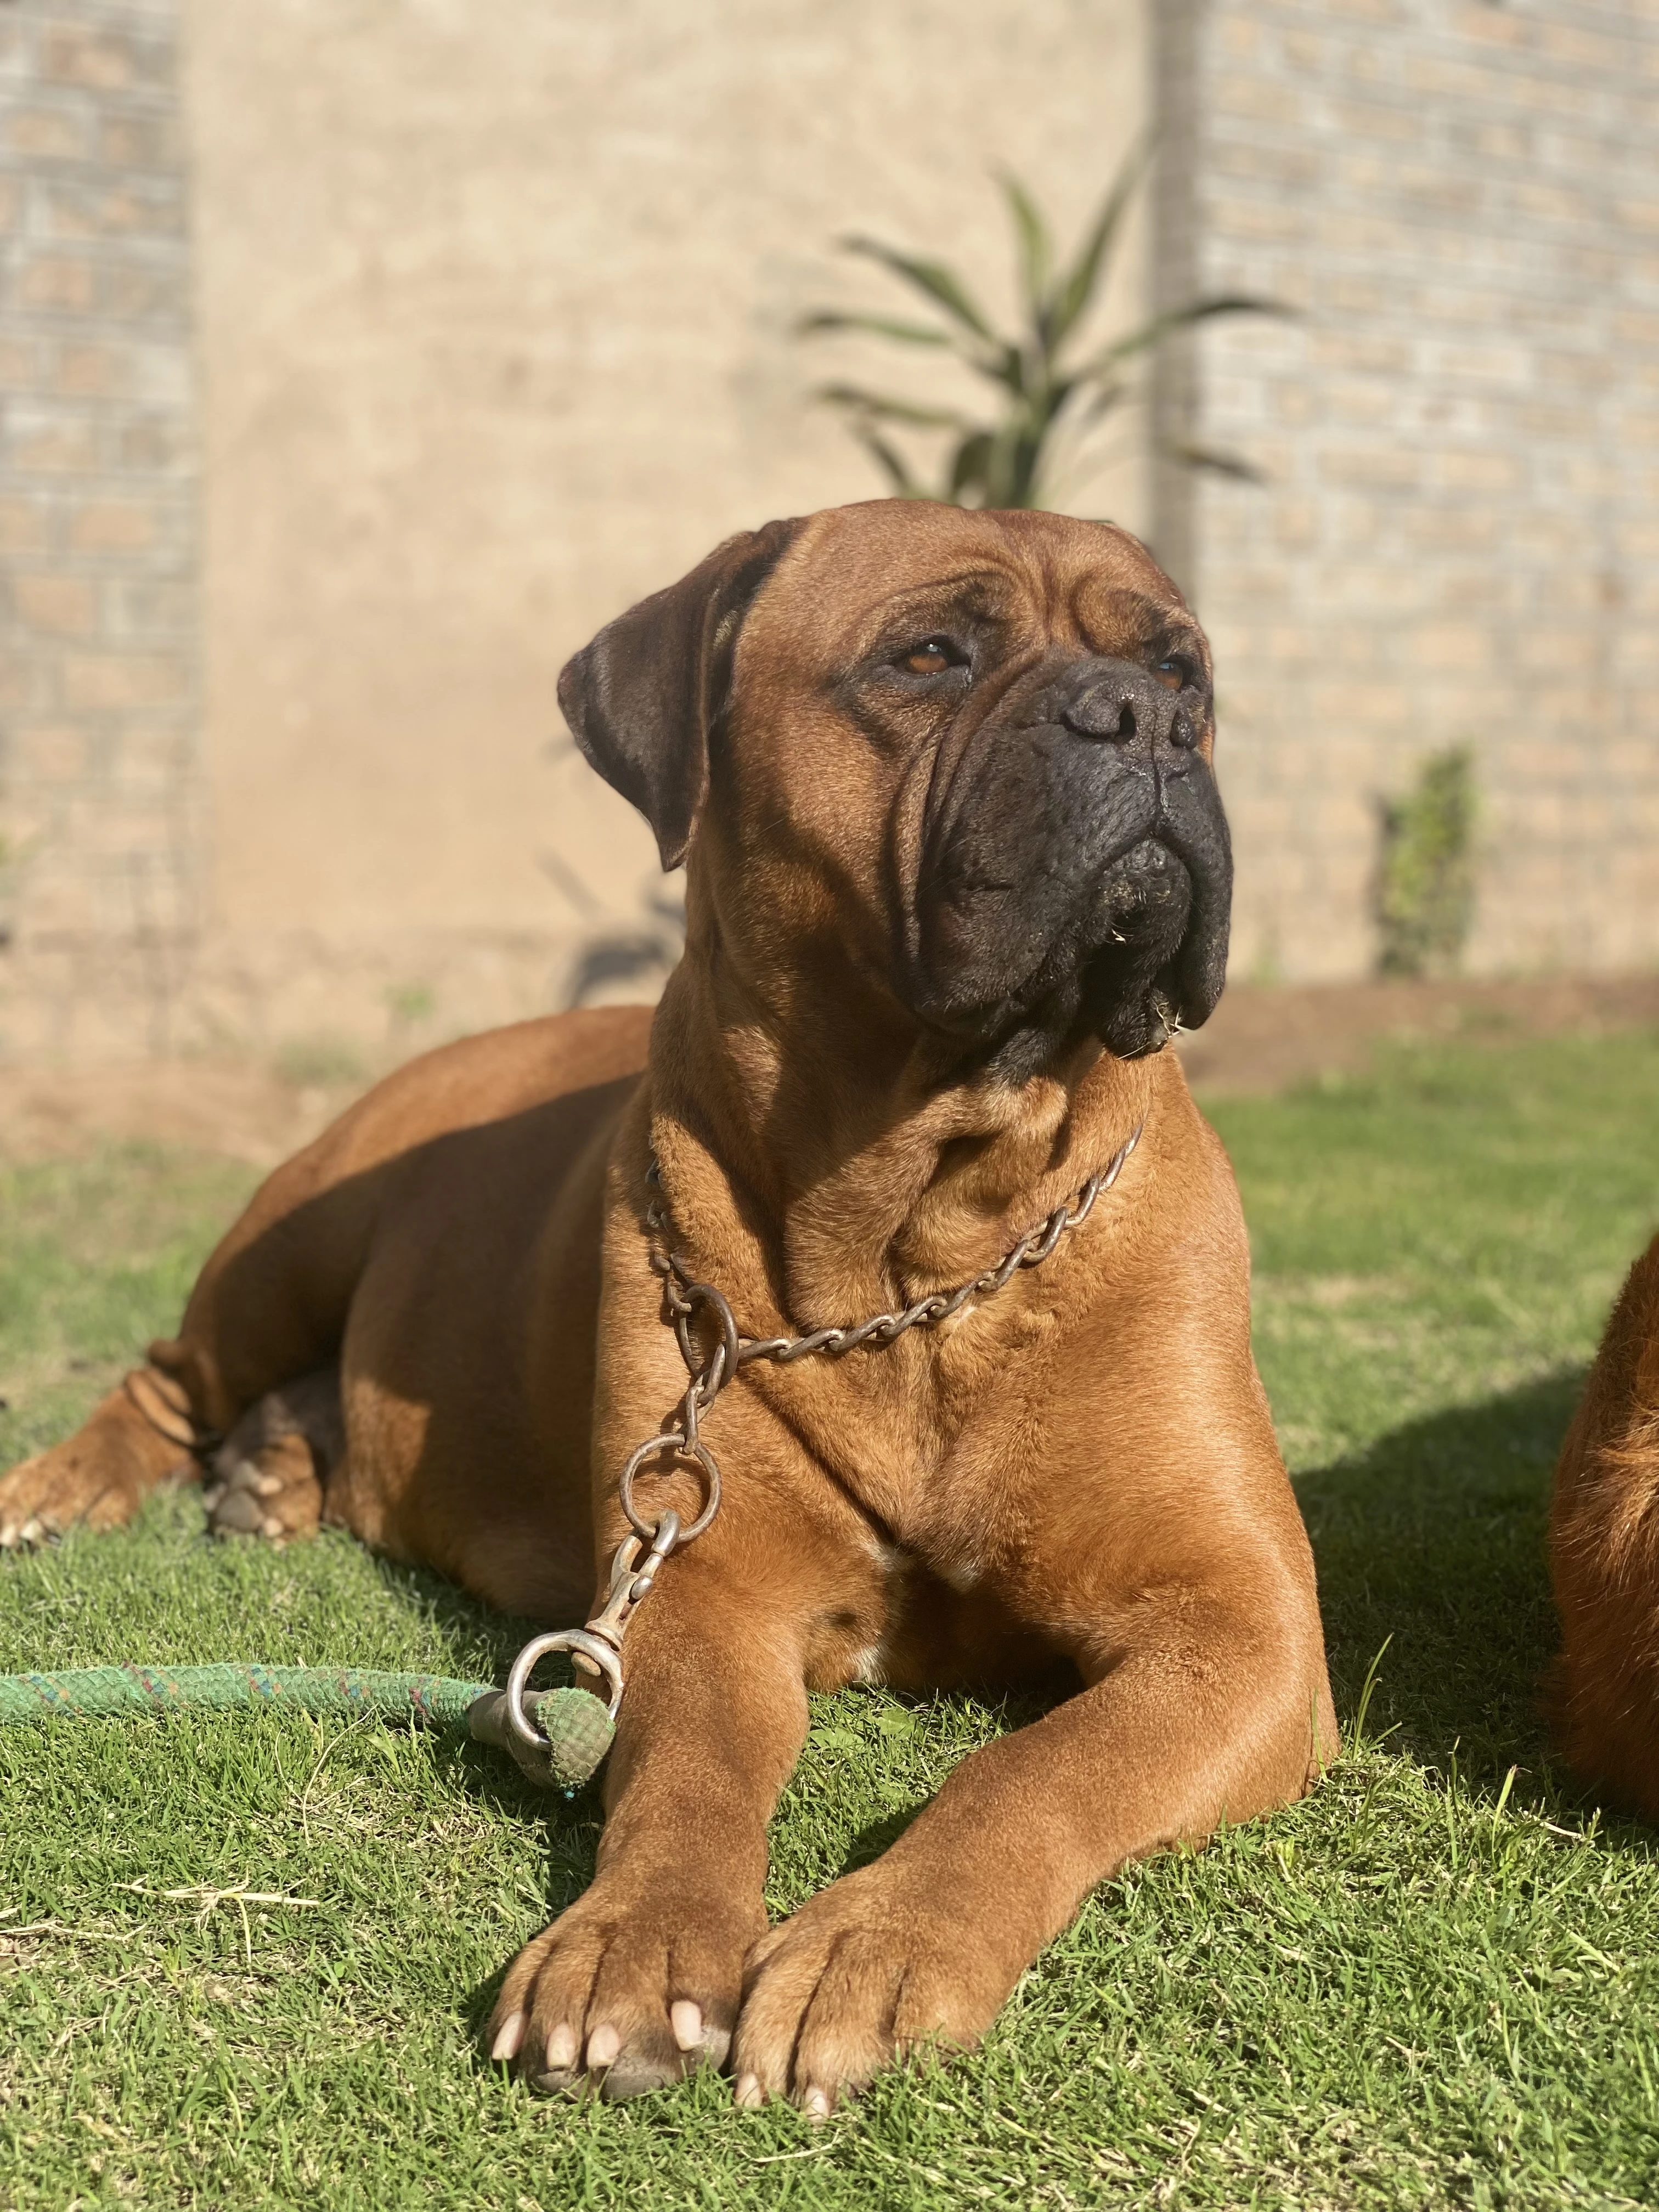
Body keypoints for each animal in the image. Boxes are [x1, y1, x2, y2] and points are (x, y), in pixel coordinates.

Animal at [0, 502, 1336, 2106]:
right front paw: (631, 1941)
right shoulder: (702, 1581)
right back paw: (74, 1485)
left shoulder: (1240, 1628)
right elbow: (692, 1761)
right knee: (168, 1375)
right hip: (292, 1235)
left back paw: (275, 1472)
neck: (928, 1244)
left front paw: (881, 1940)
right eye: (929, 655)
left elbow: (1045, 1764)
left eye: (1181, 668)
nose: (1145, 721)